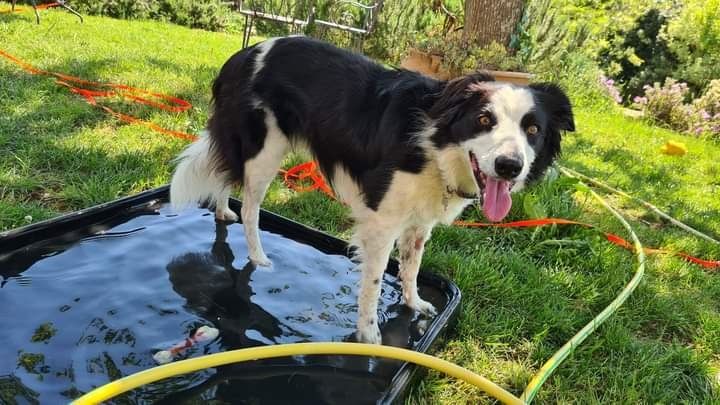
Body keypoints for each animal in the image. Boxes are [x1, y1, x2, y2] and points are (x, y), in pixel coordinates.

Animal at [170, 36, 572, 342]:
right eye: (484, 119)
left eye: (532, 130)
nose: (510, 166)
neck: (435, 143)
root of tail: (244, 54)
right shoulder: (382, 223)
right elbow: (376, 282)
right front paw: (369, 337)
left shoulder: (419, 222)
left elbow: (411, 266)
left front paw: (413, 304)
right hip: (265, 151)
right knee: (252, 208)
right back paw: (258, 257)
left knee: (226, 176)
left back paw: (223, 210)